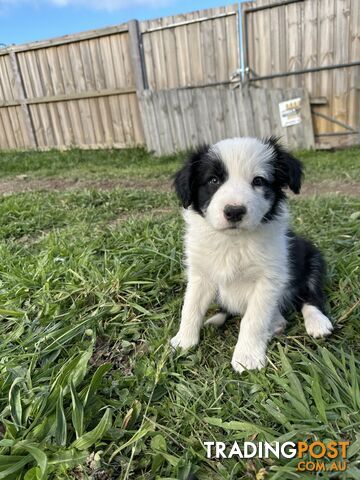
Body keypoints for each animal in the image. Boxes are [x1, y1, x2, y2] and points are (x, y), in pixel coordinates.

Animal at [170, 137, 334, 374]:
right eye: (213, 180)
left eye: (258, 181)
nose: (234, 211)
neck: (234, 241)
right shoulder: (201, 274)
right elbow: (190, 307)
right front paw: (184, 341)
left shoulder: (268, 279)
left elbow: (253, 320)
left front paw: (246, 357)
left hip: (312, 258)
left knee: (310, 296)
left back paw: (316, 322)